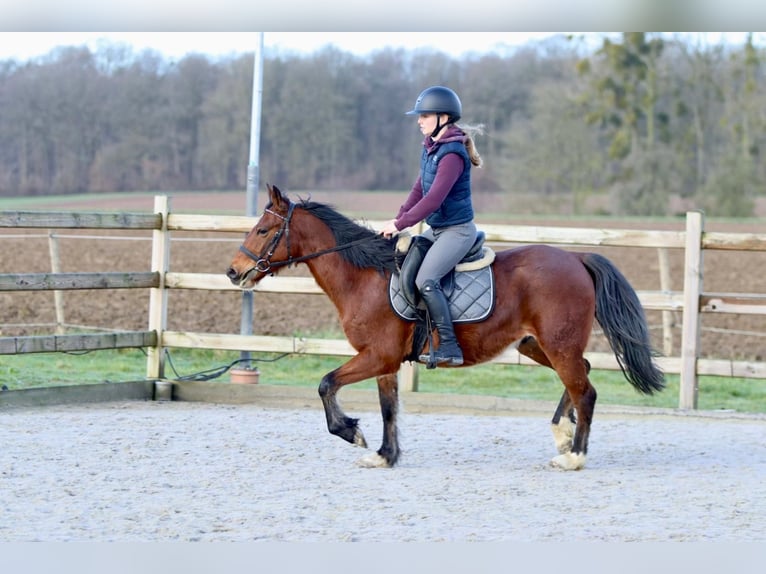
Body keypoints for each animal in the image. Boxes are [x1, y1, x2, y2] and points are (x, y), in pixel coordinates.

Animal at [226, 184, 665, 471]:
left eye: (263, 230)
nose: (233, 271)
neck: (364, 277)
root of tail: (576, 258)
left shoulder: (377, 355)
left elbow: (325, 384)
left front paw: (351, 432)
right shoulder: (385, 361)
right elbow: (388, 408)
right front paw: (385, 455)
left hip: (558, 345)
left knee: (585, 391)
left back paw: (574, 456)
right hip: (536, 345)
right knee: (581, 376)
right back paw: (562, 433)